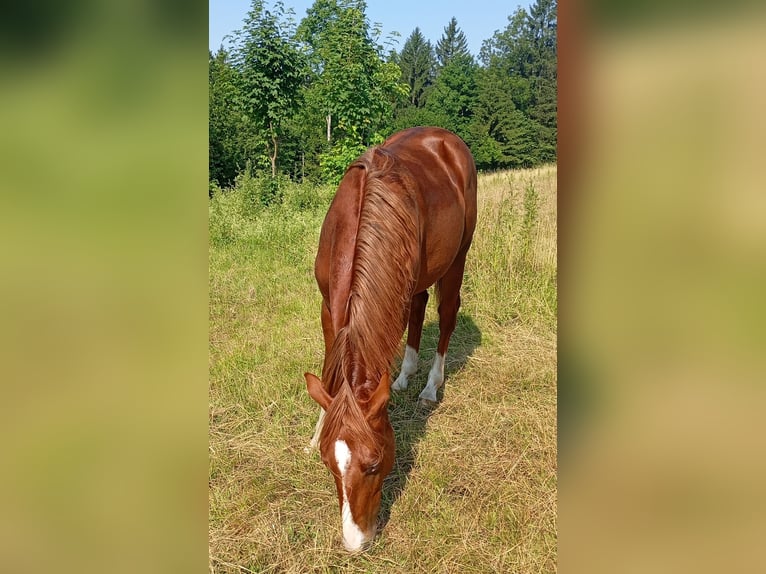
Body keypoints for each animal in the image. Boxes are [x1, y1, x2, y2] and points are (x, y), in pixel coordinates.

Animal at [303, 126, 477, 552]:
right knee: (420, 304)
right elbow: (331, 367)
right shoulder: (328, 308)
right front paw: (317, 429)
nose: (355, 542)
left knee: (446, 313)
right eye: (329, 464)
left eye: (375, 463)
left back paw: (429, 386)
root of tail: (445, 137)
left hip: (458, 256)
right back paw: (403, 376)